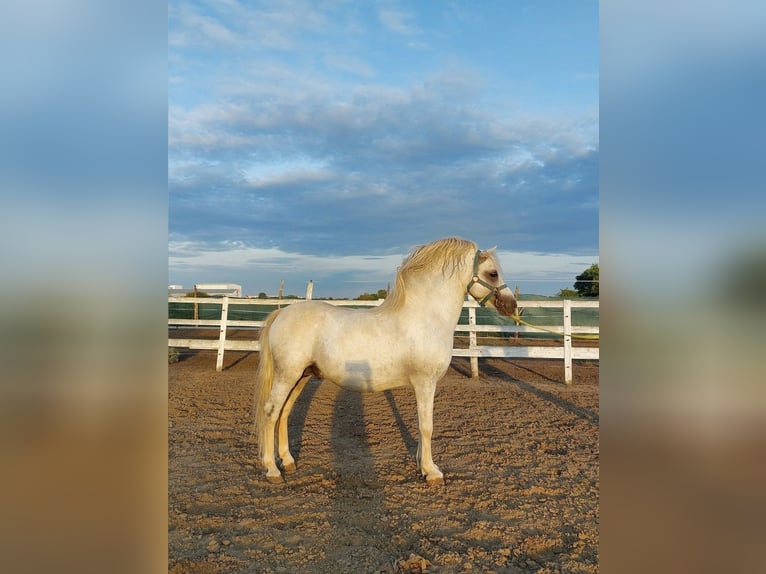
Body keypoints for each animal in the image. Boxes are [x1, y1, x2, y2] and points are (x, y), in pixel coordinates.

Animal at [253, 237, 517, 485]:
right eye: (493, 273)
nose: (513, 305)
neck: (426, 317)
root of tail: (282, 313)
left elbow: (420, 425)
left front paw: (423, 466)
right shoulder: (425, 383)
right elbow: (427, 426)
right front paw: (432, 472)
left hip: (302, 376)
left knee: (284, 412)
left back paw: (288, 461)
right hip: (287, 375)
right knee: (271, 412)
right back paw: (272, 469)